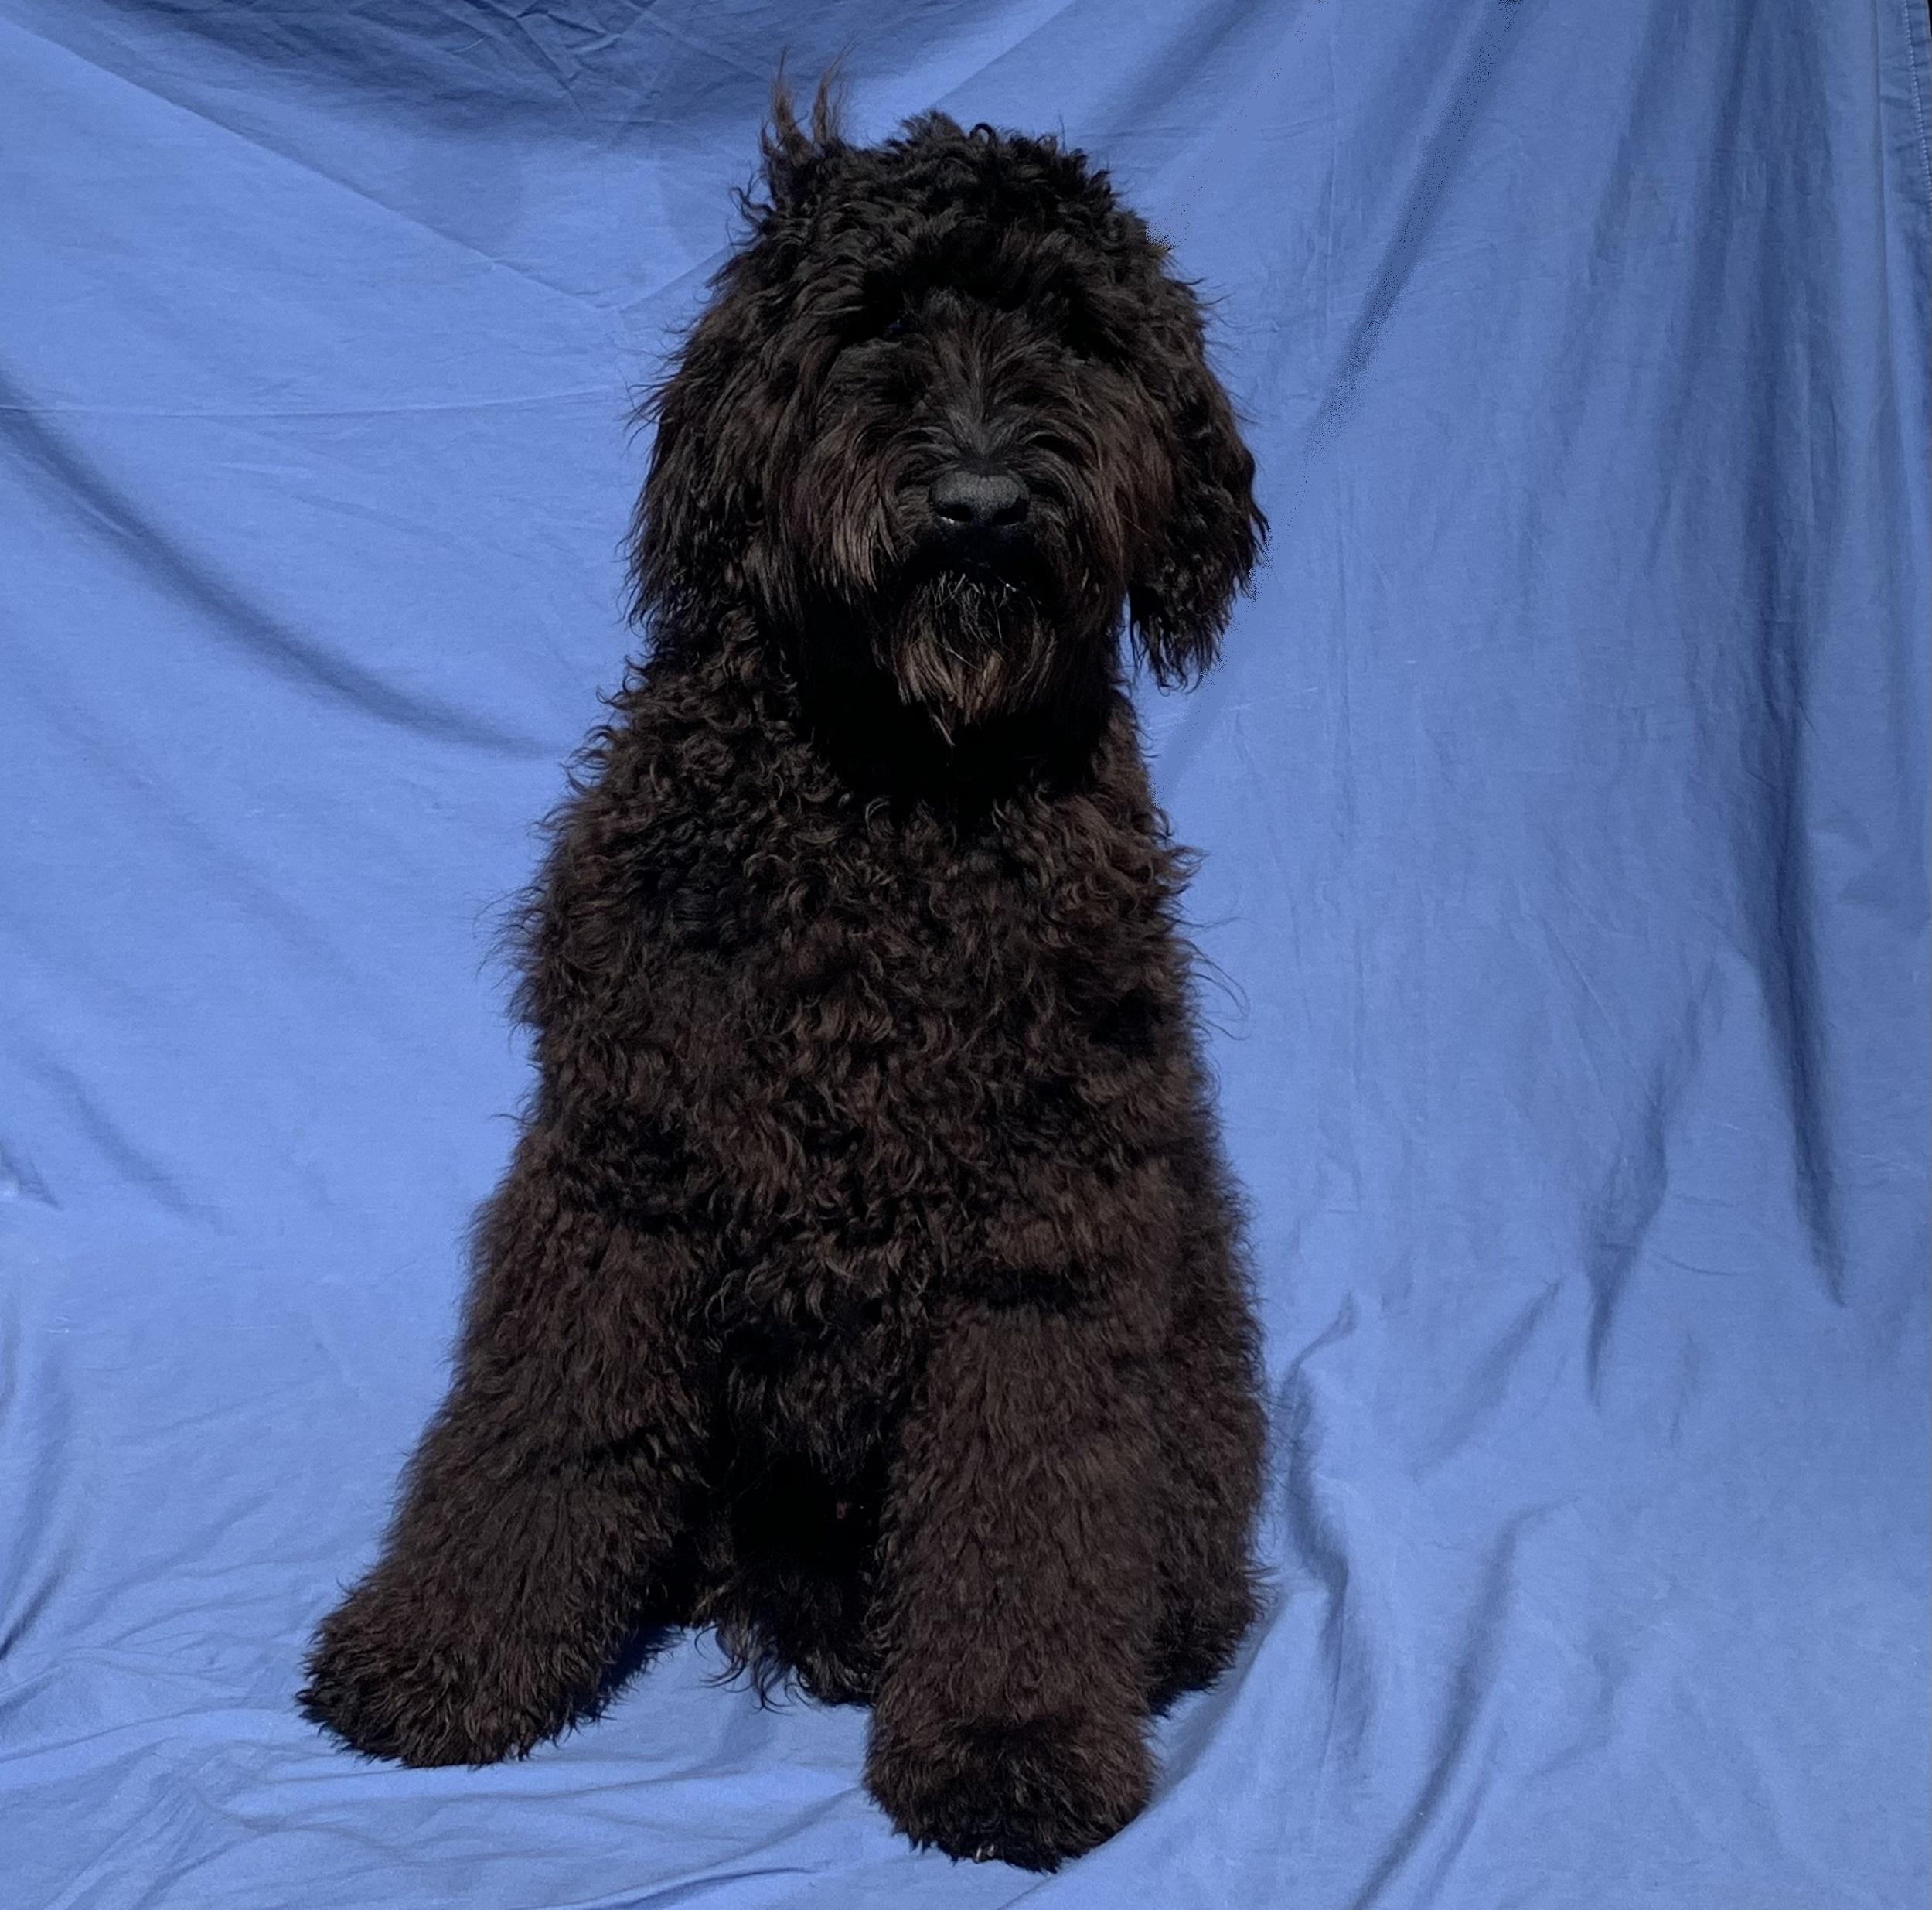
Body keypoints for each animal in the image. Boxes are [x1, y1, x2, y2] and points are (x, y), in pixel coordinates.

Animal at [301, 86, 1267, 1864]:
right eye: (871, 321)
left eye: (1075, 330)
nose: (978, 502)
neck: (892, 784)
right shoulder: (620, 1167)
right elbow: (538, 1430)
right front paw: (447, 1656)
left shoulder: (1043, 1226)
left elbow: (1023, 1487)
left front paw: (1007, 1739)